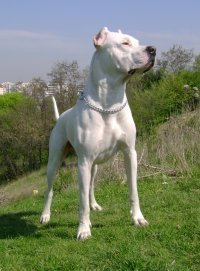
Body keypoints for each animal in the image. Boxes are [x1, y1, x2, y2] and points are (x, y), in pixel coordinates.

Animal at [40, 27, 156, 240]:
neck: (108, 104)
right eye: (125, 43)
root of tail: (61, 117)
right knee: (50, 190)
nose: (153, 49)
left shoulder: (130, 153)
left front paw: (138, 218)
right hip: (55, 161)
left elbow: (133, 190)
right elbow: (81, 202)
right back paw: (45, 215)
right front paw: (83, 229)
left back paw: (94, 204)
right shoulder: (84, 162)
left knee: (91, 186)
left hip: (94, 166)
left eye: (138, 42)